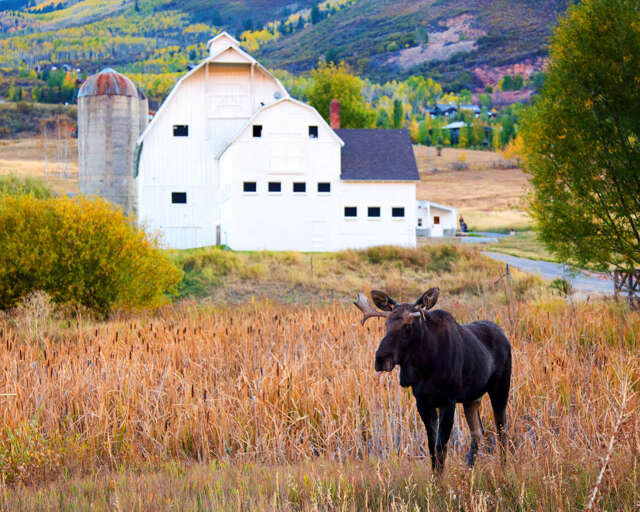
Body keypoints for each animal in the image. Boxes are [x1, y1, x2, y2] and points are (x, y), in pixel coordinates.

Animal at [354, 287, 511, 473]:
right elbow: (431, 448)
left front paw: (440, 481)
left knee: (502, 429)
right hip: (472, 398)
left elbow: (440, 447)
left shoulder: (448, 401)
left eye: (408, 326)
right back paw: (469, 471)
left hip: (500, 388)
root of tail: (504, 335)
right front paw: (434, 479)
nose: (380, 359)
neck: (425, 366)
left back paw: (503, 469)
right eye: (386, 324)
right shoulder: (422, 402)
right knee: (478, 431)